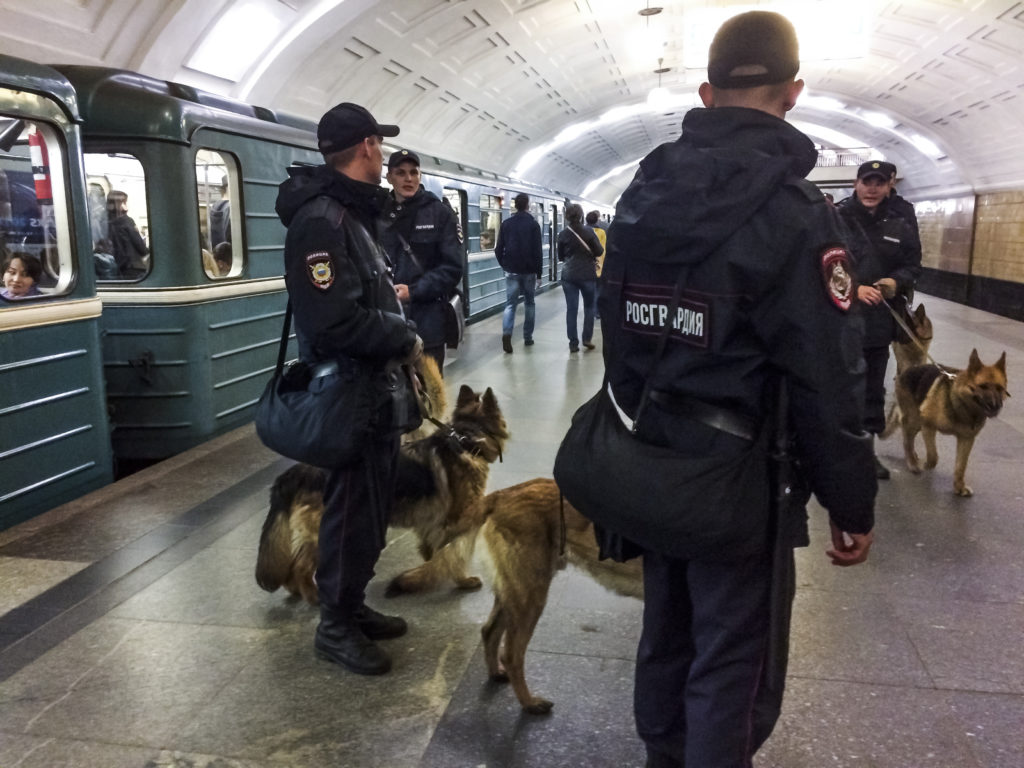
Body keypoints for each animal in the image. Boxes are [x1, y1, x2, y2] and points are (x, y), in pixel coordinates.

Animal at [477, 481, 638, 716]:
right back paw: (529, 703)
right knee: (512, 655)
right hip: (531, 595)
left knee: (489, 631)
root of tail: (503, 494)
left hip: (513, 590)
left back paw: (496, 675)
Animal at [897, 350, 1007, 495]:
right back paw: (912, 462)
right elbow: (933, 456)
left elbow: (961, 466)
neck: (963, 406)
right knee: (907, 439)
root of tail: (910, 369)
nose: (996, 406)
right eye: (983, 386)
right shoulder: (928, 426)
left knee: (909, 437)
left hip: (918, 425)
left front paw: (959, 486)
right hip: (915, 420)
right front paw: (925, 464)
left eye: (1000, 388)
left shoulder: (966, 439)